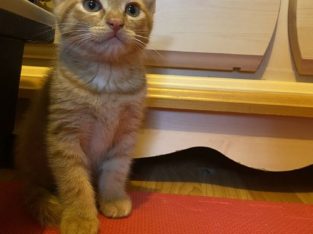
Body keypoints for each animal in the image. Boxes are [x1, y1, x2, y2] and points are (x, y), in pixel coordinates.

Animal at [15, 0, 155, 233]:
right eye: (91, 5)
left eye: (132, 10)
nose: (116, 22)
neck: (108, 80)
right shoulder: (64, 136)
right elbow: (74, 181)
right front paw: (79, 217)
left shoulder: (126, 133)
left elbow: (116, 169)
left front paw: (113, 198)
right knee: (33, 189)